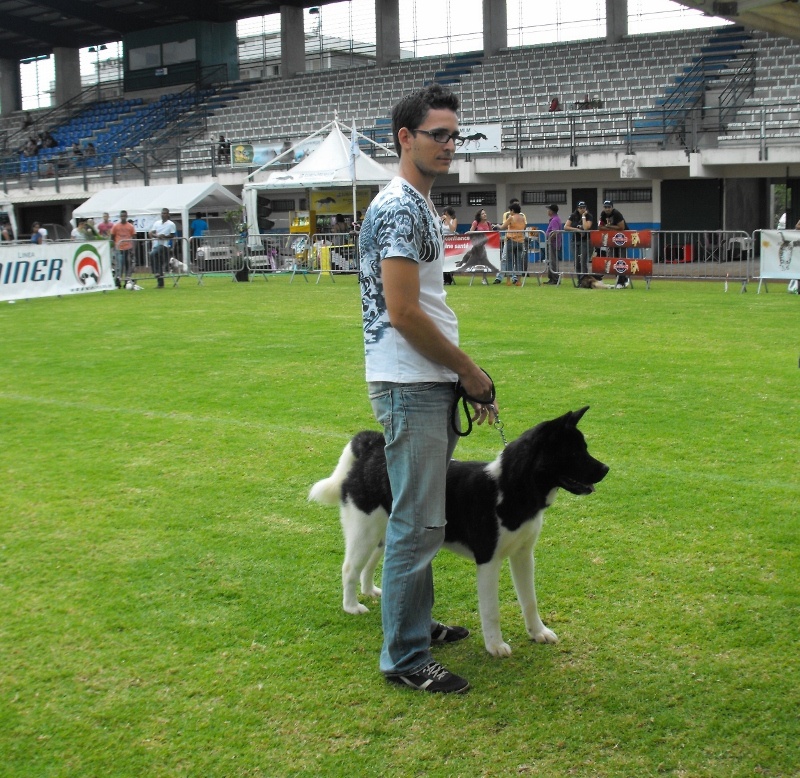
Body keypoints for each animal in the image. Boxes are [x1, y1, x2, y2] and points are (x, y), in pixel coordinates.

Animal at [310, 406, 608, 656]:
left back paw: (370, 590)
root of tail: (372, 448)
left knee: (370, 565)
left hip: (385, 534)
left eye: (584, 448)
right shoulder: (488, 561)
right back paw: (351, 606)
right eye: (574, 453)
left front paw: (538, 633)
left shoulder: (523, 555)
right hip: (365, 531)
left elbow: (530, 601)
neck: (510, 488)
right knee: (350, 568)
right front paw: (495, 646)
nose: (606, 469)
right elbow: (491, 609)